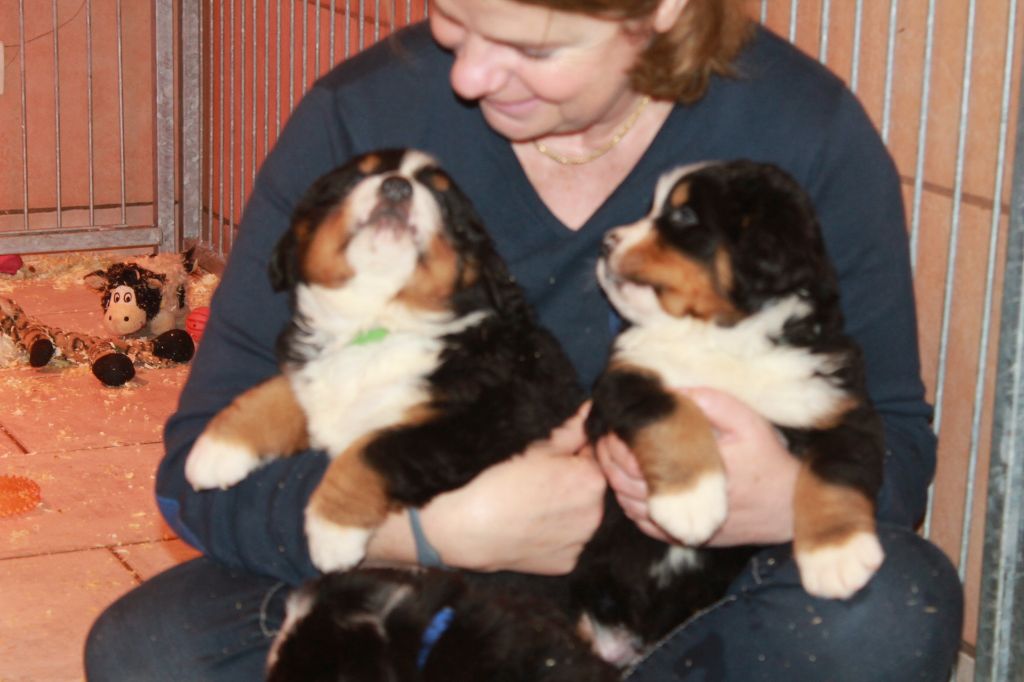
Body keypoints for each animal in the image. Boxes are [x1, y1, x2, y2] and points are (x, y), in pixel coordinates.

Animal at [186, 150, 585, 573]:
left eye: (441, 198)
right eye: (357, 178)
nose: (397, 186)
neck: (375, 325)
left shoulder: (480, 420)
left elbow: (372, 450)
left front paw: (331, 532)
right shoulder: (317, 376)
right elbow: (275, 392)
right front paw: (216, 449)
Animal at [593, 157, 888, 593]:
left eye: (684, 215)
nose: (606, 242)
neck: (725, 338)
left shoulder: (838, 404)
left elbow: (836, 470)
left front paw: (837, 554)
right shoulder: (622, 378)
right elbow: (669, 411)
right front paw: (691, 501)